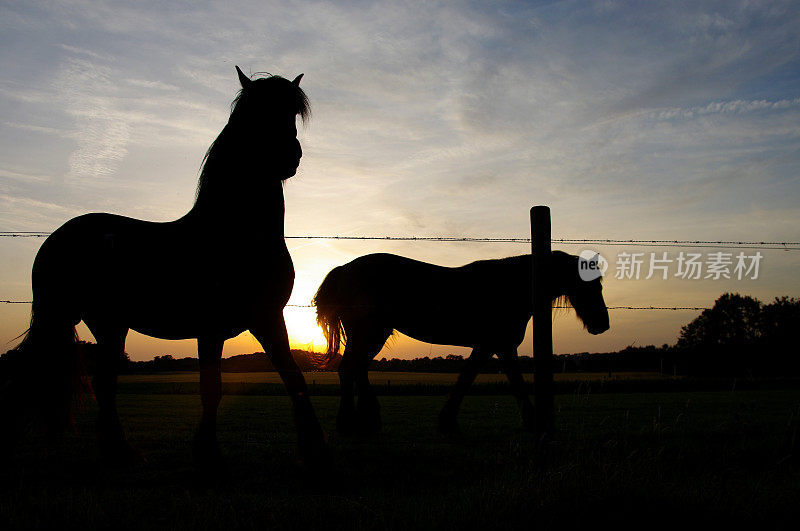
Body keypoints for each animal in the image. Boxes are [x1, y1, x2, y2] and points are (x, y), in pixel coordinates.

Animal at [7, 68, 326, 468]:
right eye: (252, 112)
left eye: (292, 112)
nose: (288, 156)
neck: (233, 232)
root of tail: (56, 237)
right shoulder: (217, 326)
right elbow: (213, 388)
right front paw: (208, 452)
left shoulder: (265, 318)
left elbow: (292, 377)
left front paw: (313, 449)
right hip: (63, 315)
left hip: (107, 323)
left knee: (102, 383)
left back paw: (120, 452)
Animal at [312, 254, 608, 436]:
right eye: (591, 284)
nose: (602, 324)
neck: (510, 286)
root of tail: (343, 270)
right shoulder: (495, 345)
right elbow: (486, 380)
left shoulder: (496, 346)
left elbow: (478, 378)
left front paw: (448, 422)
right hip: (370, 332)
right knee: (350, 369)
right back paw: (350, 422)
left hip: (372, 334)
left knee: (356, 369)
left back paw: (365, 420)